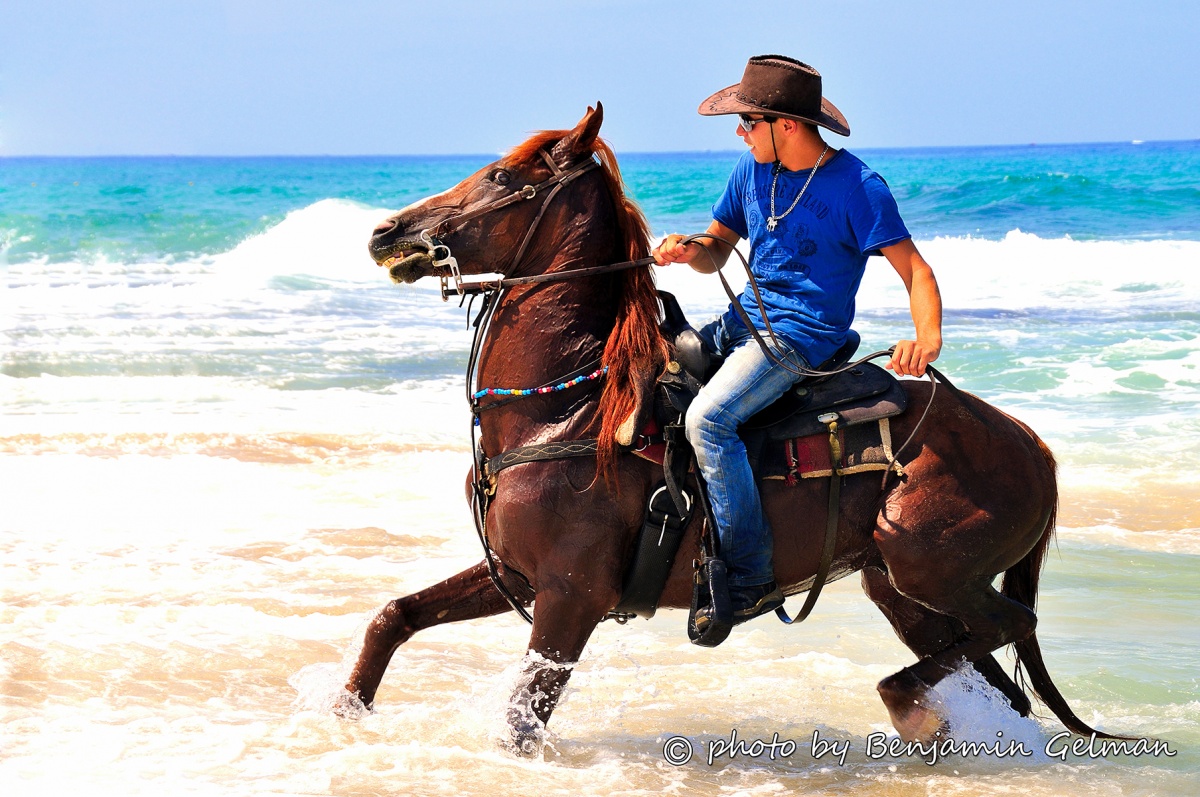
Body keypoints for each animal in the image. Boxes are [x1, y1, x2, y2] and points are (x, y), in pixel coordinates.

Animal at [352, 103, 1109, 755]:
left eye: (503, 177)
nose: (386, 233)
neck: (566, 409)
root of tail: (1030, 444)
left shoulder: (570, 597)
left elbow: (519, 723)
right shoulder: (515, 572)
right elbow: (394, 615)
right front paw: (345, 712)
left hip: (929, 568)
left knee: (1010, 628)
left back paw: (909, 707)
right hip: (904, 591)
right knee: (1001, 683)